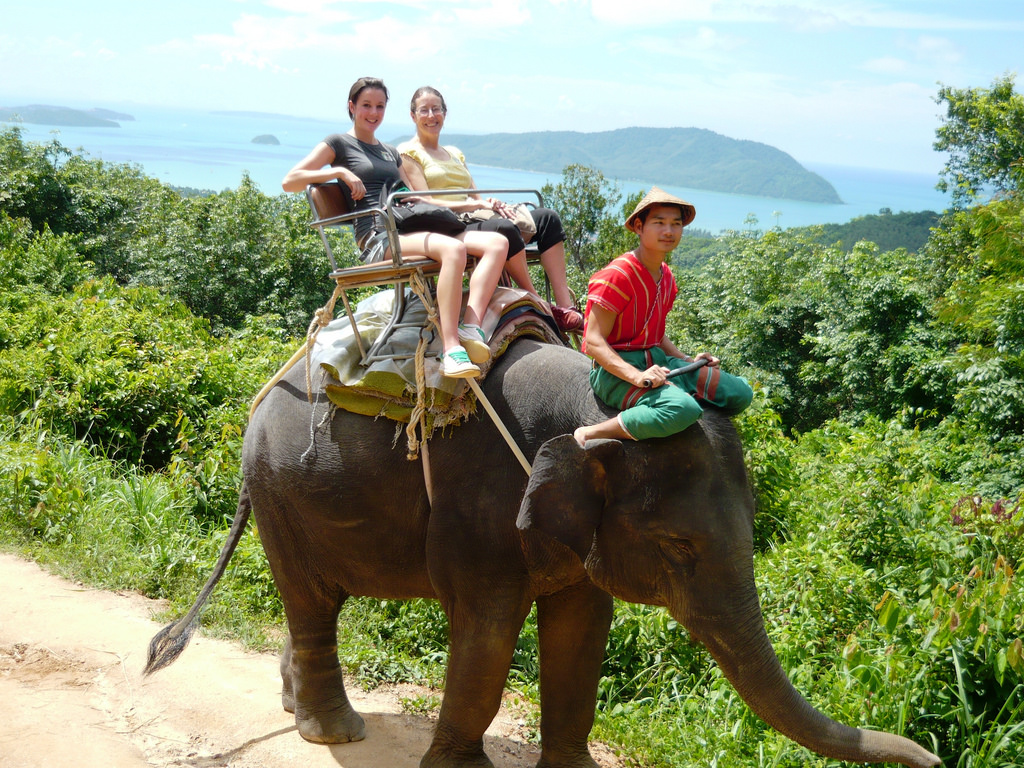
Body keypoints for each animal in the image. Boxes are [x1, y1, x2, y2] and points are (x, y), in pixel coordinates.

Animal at [146, 342, 942, 768]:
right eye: (678, 545)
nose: (933, 758)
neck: (595, 408)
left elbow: (581, 632)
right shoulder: (477, 504)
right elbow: (490, 633)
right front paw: (455, 766)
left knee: (320, 600)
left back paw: (297, 704)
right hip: (277, 494)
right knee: (310, 599)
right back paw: (334, 732)